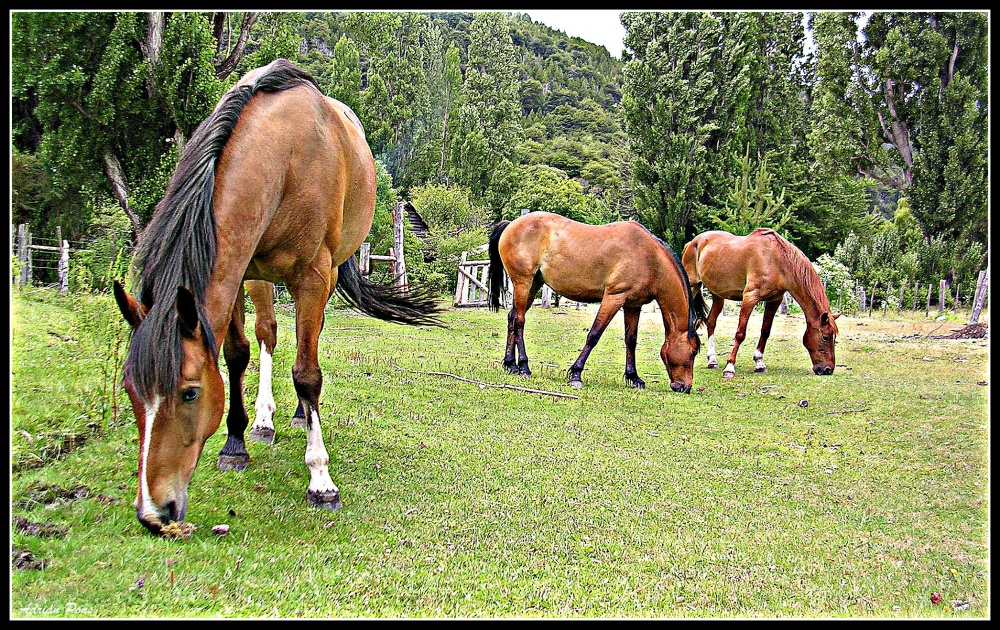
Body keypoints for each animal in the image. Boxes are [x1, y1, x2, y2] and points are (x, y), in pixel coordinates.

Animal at [111, 59, 440, 536]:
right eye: (131, 391)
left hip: (323, 274)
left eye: (189, 393)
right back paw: (264, 419)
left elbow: (307, 373)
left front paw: (321, 478)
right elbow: (236, 354)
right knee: (267, 333)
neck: (284, 158)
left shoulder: (313, 276)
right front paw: (234, 442)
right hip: (261, 278)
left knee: (306, 344)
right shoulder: (237, 271)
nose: (154, 513)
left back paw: (303, 415)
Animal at [488, 212, 708, 392]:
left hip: (534, 284)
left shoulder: (633, 305)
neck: (651, 259)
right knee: (519, 321)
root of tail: (511, 224)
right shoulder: (614, 297)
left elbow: (631, 340)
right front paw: (576, 374)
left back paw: (511, 364)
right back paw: (524, 366)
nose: (685, 387)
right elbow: (594, 335)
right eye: (693, 351)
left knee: (512, 317)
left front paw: (634, 377)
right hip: (523, 282)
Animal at [684, 230, 840, 380]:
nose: (828, 369)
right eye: (825, 337)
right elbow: (740, 333)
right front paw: (729, 367)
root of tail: (692, 243)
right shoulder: (750, 298)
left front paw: (759, 363)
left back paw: (712, 360)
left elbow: (765, 331)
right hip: (692, 286)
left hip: (718, 295)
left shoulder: (774, 300)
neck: (776, 260)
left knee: (711, 322)